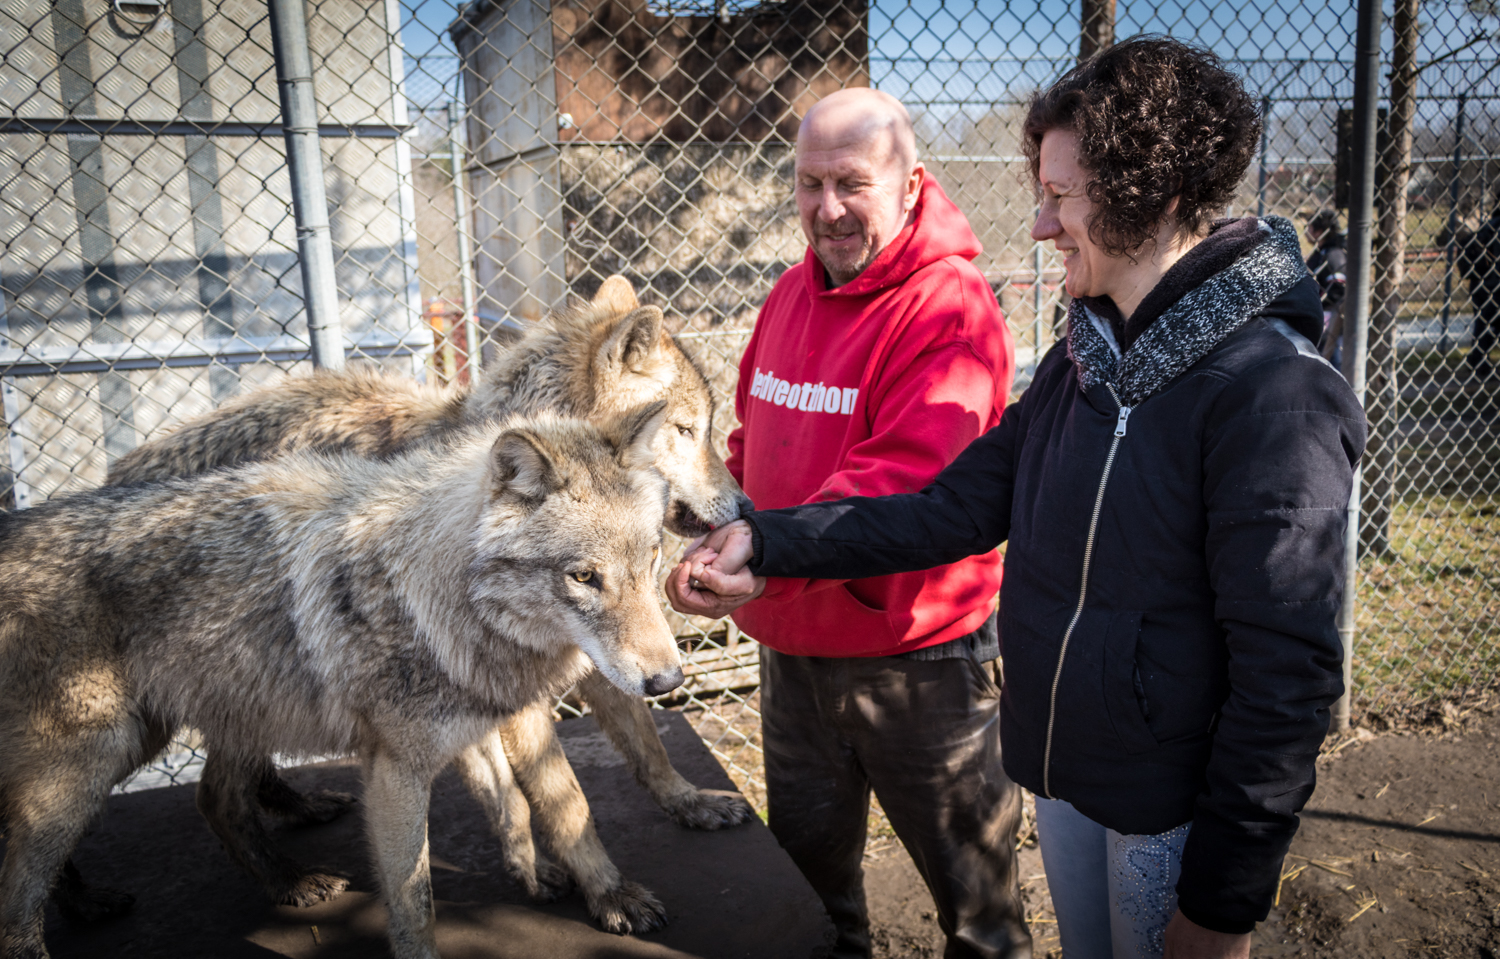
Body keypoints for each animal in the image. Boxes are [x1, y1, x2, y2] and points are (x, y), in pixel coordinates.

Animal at [1, 405, 681, 959]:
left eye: (650, 558)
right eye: (584, 576)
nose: (668, 679)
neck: (435, 595)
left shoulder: (486, 720)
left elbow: (547, 805)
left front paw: (594, 890)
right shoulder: (396, 770)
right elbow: (415, 899)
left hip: (192, 721)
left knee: (210, 799)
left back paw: (273, 884)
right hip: (102, 752)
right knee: (20, 877)